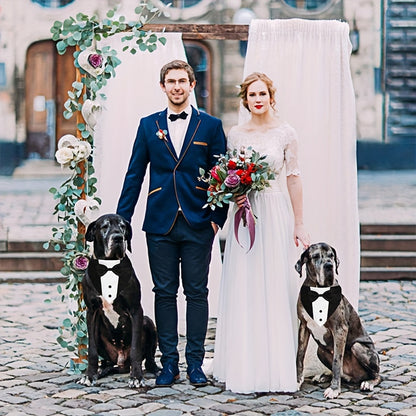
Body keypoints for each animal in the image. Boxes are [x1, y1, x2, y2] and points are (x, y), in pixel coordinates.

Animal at [78, 214, 159, 386]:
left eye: (122, 226)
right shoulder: (91, 311)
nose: (118, 238)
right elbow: (91, 350)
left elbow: (135, 349)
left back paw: (155, 370)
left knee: (149, 359)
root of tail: (122, 363)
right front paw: (89, 375)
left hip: (148, 322)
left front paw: (136, 377)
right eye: (104, 226)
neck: (110, 266)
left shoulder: (135, 310)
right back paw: (102, 371)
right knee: (106, 362)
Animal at [296, 244, 380, 400]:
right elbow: (300, 354)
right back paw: (323, 376)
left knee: (376, 374)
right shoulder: (303, 326)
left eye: (331, 256)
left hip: (359, 347)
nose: (329, 265)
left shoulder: (340, 329)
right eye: (315, 256)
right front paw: (297, 380)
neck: (319, 290)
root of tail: (353, 377)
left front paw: (334, 389)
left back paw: (368, 382)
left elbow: (336, 361)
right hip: (320, 351)